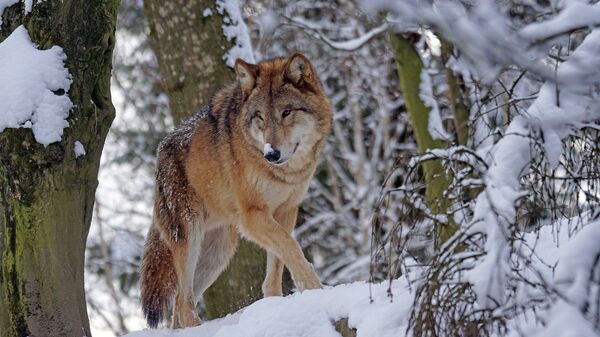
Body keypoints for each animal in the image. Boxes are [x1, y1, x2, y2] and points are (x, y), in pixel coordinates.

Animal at [140, 53, 332, 328]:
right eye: (260, 116)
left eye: (286, 112)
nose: (271, 154)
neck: (284, 173)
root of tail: (160, 151)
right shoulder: (252, 216)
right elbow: (292, 247)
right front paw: (314, 289)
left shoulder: (286, 211)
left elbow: (278, 263)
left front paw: (276, 304)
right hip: (190, 239)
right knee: (183, 303)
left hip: (218, 254)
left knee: (178, 305)